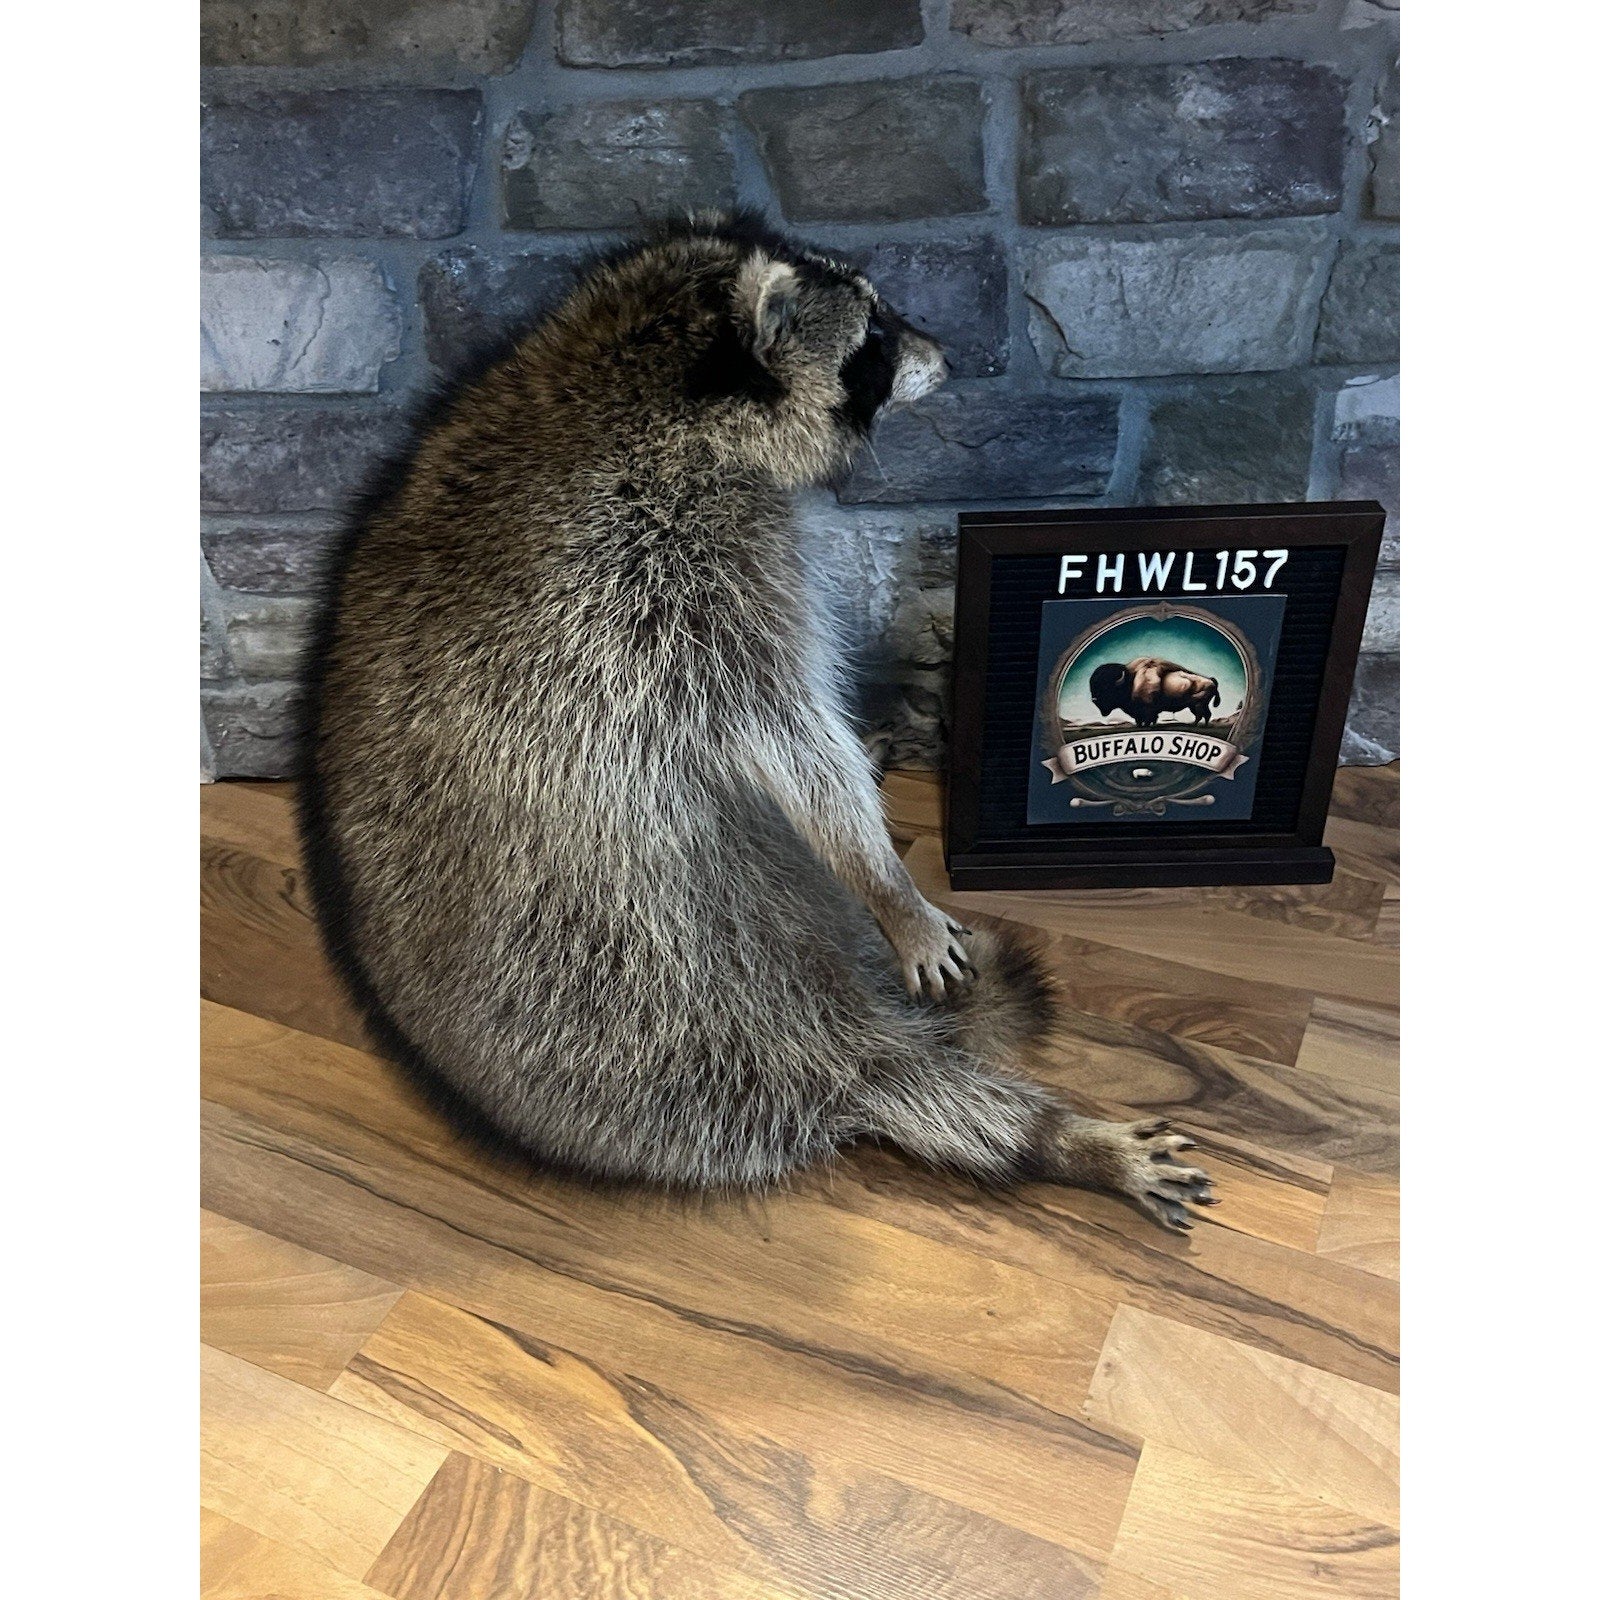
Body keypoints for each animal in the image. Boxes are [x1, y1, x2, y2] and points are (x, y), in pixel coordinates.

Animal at [298, 212, 1214, 1229]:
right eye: (875, 338)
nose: (952, 355)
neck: (628, 375)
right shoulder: (668, 578)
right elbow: (790, 737)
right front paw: (885, 879)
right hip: (693, 1012)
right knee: (907, 1085)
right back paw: (1052, 1137)